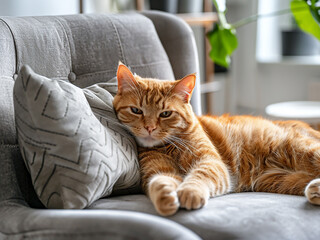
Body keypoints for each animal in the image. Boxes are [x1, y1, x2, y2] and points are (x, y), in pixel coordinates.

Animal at [112, 62, 320, 217]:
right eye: (136, 110)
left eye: (165, 114)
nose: (150, 128)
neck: (169, 146)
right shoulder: (158, 170)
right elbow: (160, 181)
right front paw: (167, 197)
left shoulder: (210, 161)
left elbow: (199, 176)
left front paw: (189, 192)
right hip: (282, 180)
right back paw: (314, 190)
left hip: (304, 150)